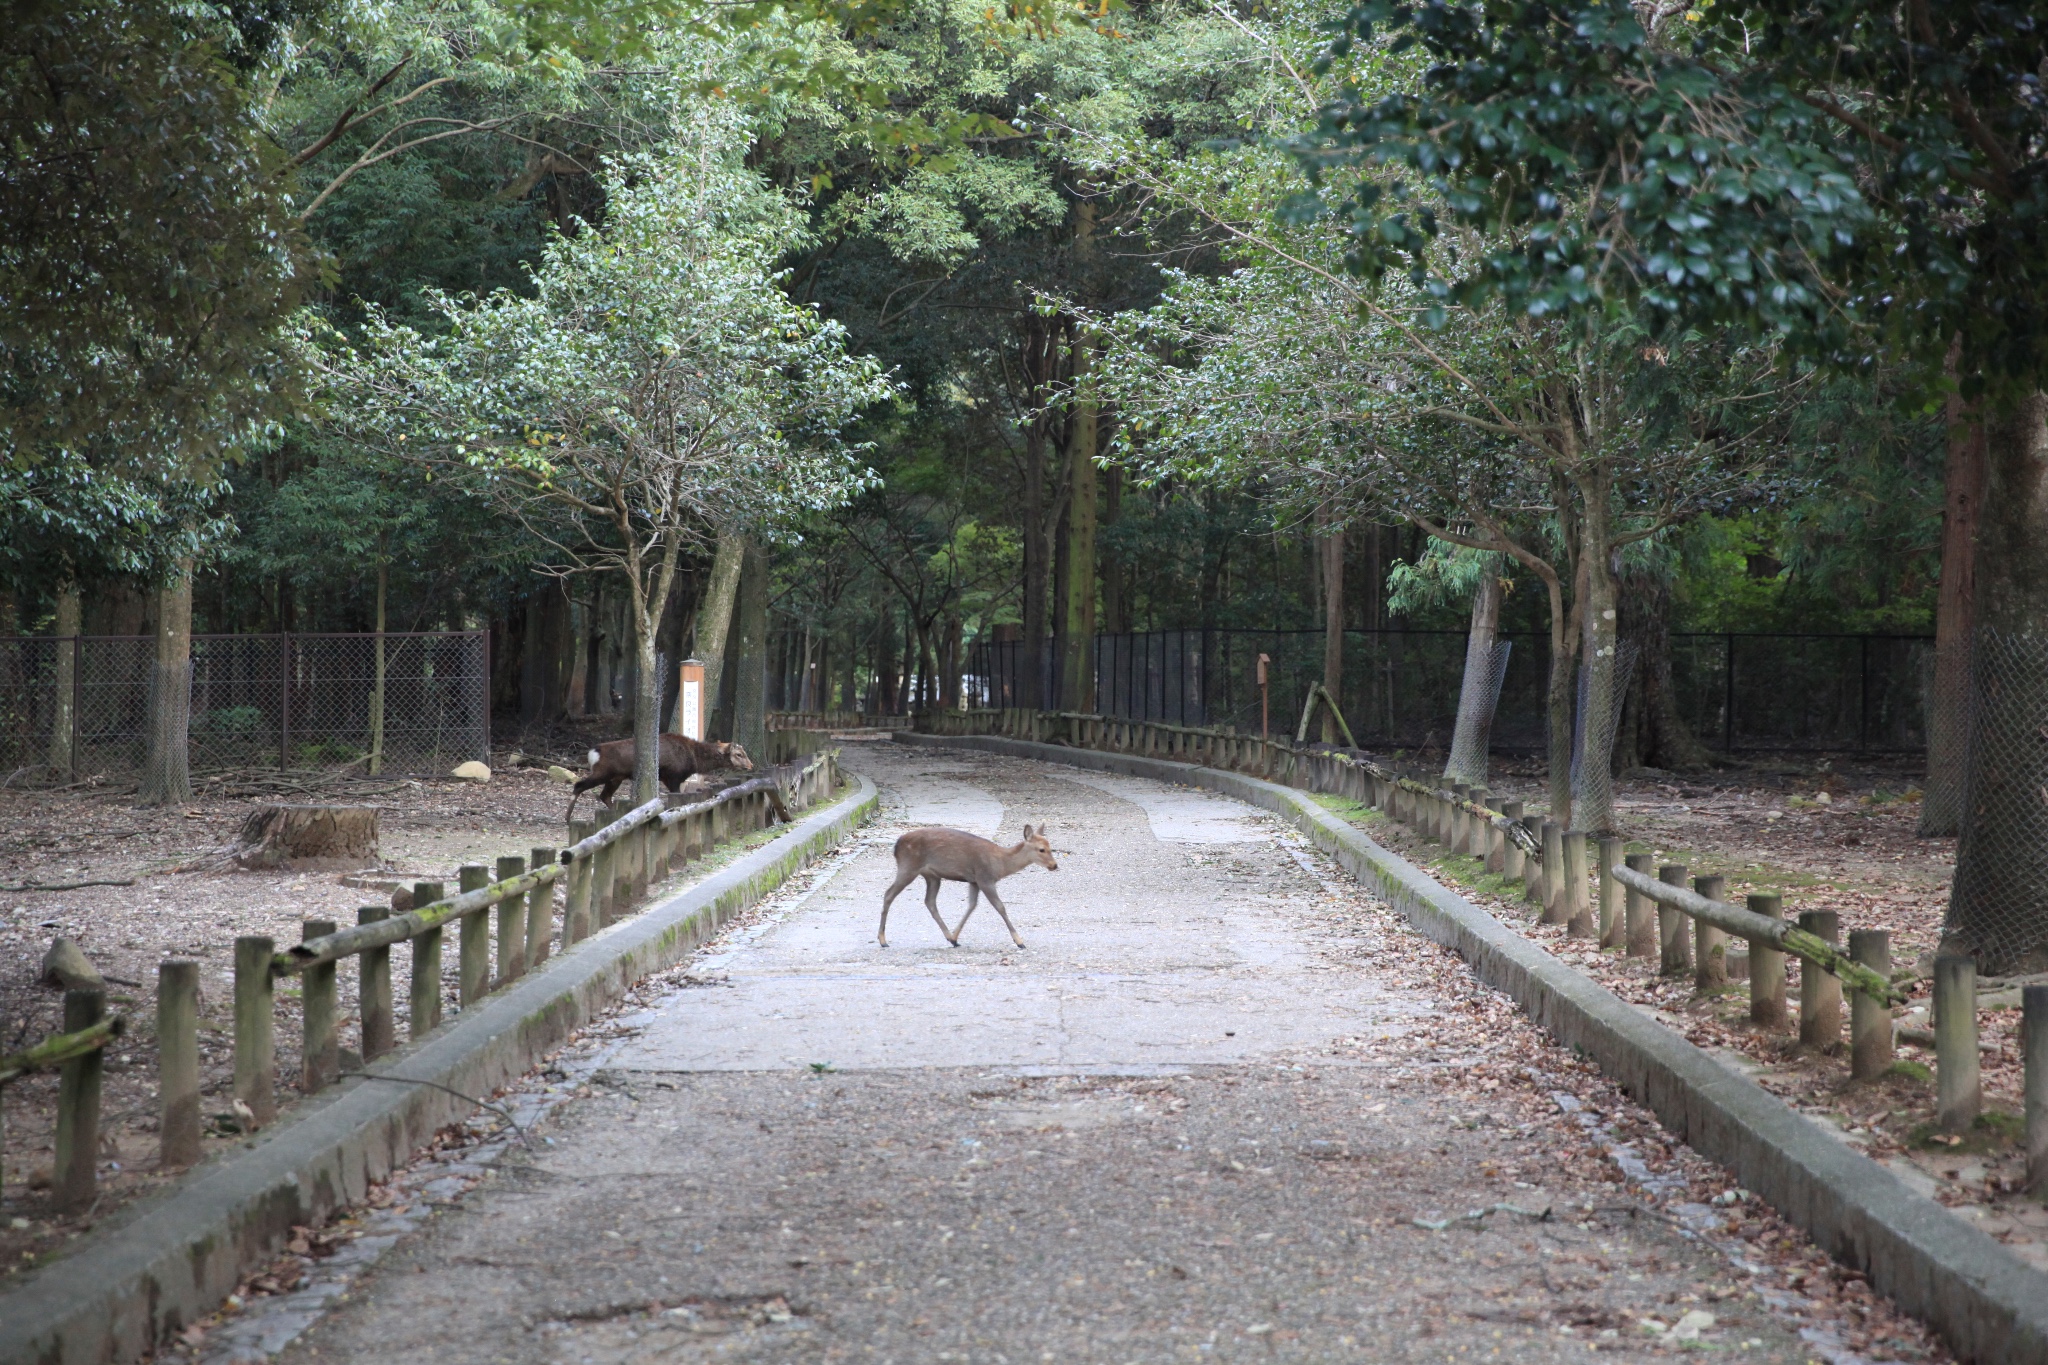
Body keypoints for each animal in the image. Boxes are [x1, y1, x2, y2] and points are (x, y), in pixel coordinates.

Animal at [569, 732, 753, 818]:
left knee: (605, 795)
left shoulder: (668, 778)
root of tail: (593, 752)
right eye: (739, 754)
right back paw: (568, 818)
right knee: (578, 785)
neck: (693, 760)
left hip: (616, 777)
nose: (751, 765)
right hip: (602, 772)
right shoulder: (674, 776)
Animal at [876, 822, 1056, 949]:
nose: (1054, 865)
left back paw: (949, 937)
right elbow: (1000, 907)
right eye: (1041, 849)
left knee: (929, 901)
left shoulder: (974, 881)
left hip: (932, 876)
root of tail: (896, 845)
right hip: (908, 866)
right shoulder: (985, 878)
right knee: (888, 894)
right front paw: (1019, 941)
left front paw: (955, 937)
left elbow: (972, 905)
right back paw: (883, 940)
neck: (1001, 865)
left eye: (1051, 847)